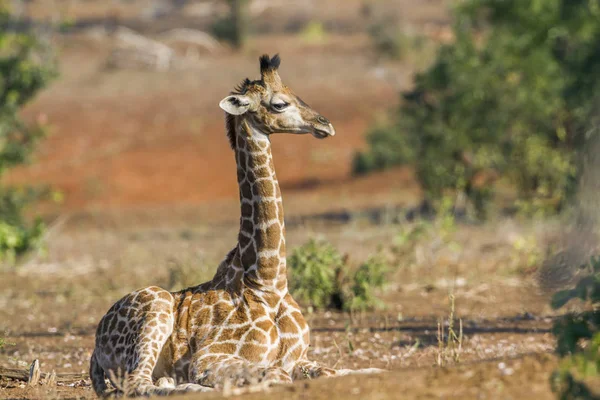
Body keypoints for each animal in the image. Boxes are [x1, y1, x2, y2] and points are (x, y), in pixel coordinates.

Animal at [89, 54, 380, 396]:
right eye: (279, 103)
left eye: (295, 92)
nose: (325, 124)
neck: (269, 281)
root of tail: (96, 343)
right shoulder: (210, 358)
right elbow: (274, 375)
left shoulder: (299, 358)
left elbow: (341, 371)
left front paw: (371, 369)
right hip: (154, 307)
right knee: (140, 384)